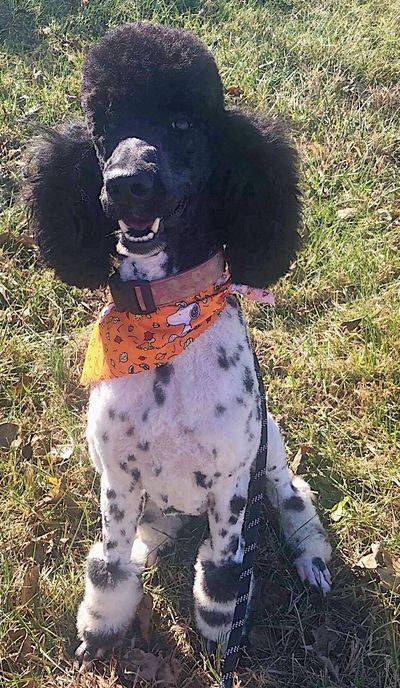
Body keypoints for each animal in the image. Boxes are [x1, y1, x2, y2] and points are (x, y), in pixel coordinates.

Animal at [23, 21, 332, 668]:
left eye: (184, 124)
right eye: (104, 125)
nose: (125, 185)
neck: (165, 318)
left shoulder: (230, 485)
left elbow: (223, 576)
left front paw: (220, 642)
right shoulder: (118, 481)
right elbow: (109, 566)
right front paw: (103, 632)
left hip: (270, 452)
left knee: (293, 495)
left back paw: (311, 556)